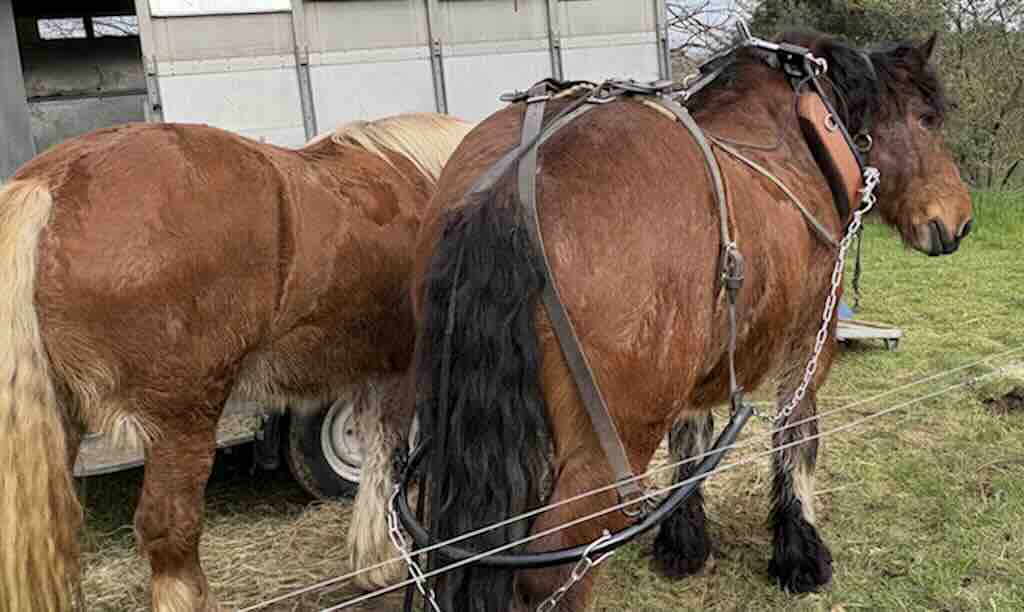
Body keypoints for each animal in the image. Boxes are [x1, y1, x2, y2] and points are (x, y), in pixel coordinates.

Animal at [0, 112, 472, 612]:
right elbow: (387, 460)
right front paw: (384, 562)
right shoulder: (399, 371)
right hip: (181, 422)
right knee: (171, 531)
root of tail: (48, 186)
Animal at [392, 29, 972, 611]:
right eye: (927, 119)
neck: (803, 132)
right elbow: (796, 438)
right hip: (607, 453)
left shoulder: (700, 368)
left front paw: (686, 542)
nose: (960, 220)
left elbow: (691, 442)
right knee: (553, 569)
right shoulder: (810, 341)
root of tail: (509, 191)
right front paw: (800, 551)